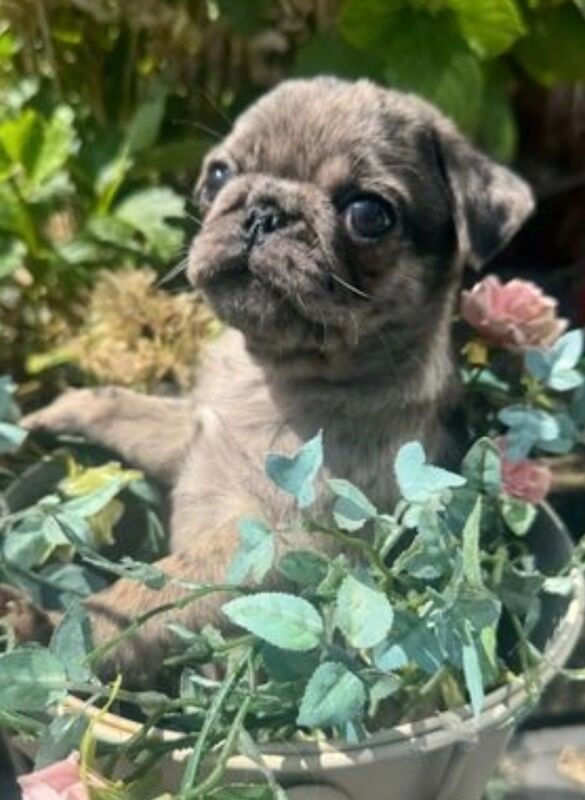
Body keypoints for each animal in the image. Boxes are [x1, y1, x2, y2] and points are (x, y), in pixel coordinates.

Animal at [3, 78, 532, 684]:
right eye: (218, 175)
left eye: (369, 215)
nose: (264, 211)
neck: (270, 375)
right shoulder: (188, 433)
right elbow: (120, 407)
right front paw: (56, 411)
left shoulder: (270, 542)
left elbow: (148, 598)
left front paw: (50, 628)